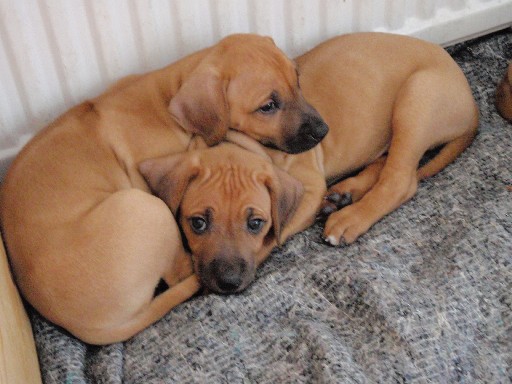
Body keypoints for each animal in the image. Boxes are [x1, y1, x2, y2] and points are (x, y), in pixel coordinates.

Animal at [0, 33, 328, 344]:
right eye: (267, 106)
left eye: (298, 82)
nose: (323, 131)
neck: (170, 92)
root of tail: (82, 328)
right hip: (151, 209)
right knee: (182, 272)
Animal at [139, 32, 476, 294]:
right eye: (268, 106)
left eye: (298, 83)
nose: (324, 130)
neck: (250, 145)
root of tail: (472, 105)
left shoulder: (307, 189)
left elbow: (273, 235)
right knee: (388, 162)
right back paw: (345, 192)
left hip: (416, 98)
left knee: (401, 180)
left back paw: (350, 217)